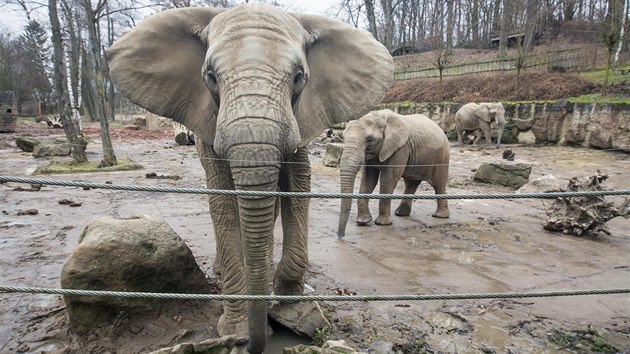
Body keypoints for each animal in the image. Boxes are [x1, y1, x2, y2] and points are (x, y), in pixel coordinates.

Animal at [108, 3, 396, 354]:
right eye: (210, 77)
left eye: (299, 77)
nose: (249, 345)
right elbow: (223, 201)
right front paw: (236, 328)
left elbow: (298, 188)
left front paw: (293, 312)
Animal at [338, 110, 452, 238]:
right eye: (343, 137)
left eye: (370, 140)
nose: (341, 236)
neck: (379, 117)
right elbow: (368, 180)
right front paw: (363, 221)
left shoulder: (400, 148)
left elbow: (388, 179)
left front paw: (382, 223)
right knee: (411, 183)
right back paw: (401, 213)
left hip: (442, 155)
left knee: (438, 184)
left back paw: (440, 216)